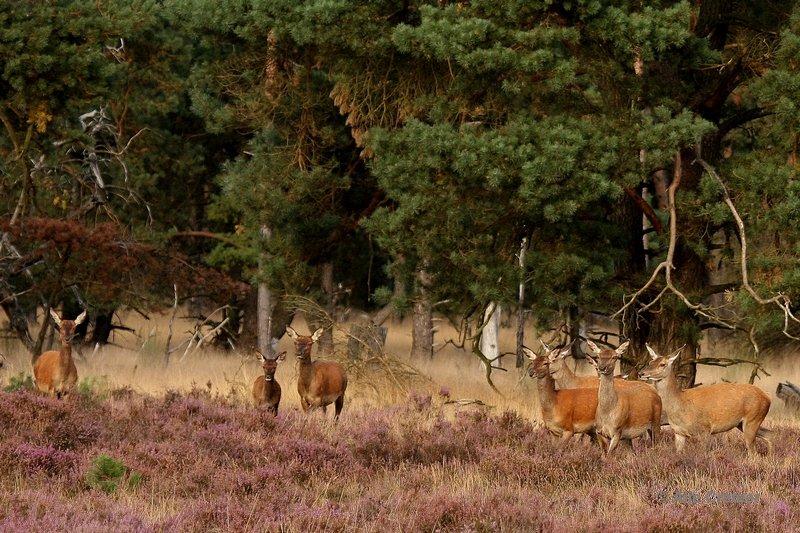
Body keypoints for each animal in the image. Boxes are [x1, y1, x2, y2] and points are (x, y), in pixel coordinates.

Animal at [636, 344, 768, 454]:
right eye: (650, 361)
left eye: (663, 364)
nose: (641, 373)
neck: (681, 402)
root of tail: (768, 398)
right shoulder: (678, 432)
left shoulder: (704, 429)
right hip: (743, 423)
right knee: (769, 435)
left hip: (753, 418)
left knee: (754, 453)